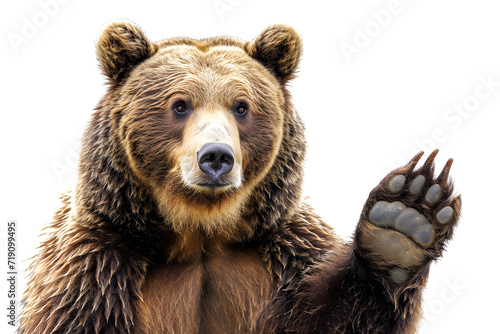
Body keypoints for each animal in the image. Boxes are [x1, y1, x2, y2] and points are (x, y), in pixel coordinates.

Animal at [21, 21, 460, 334]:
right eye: (180, 105)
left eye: (242, 106)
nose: (216, 157)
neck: (201, 230)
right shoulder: (101, 264)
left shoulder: (282, 254)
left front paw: (404, 219)